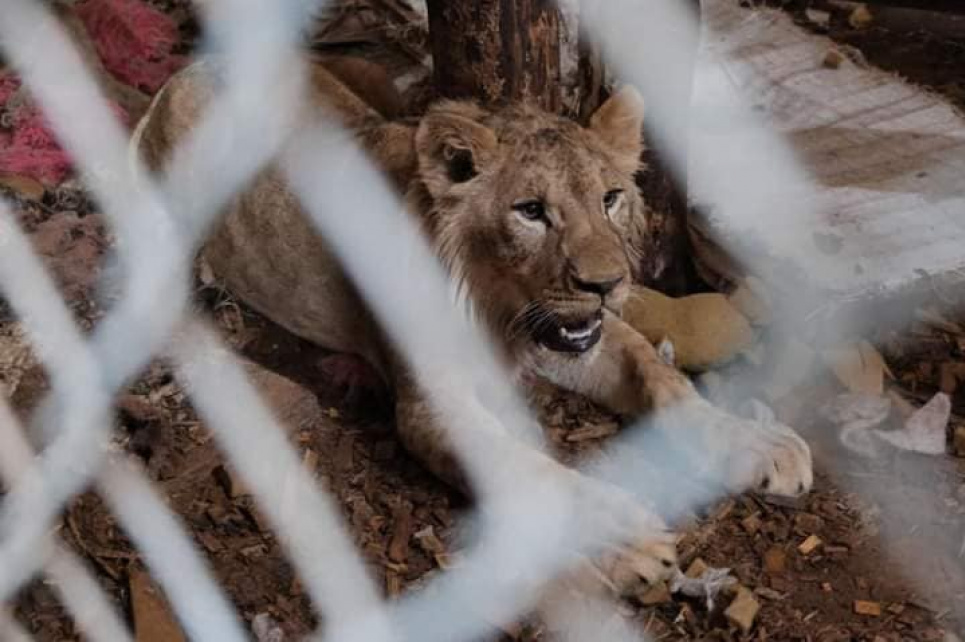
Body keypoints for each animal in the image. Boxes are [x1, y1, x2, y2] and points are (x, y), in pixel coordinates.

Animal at [134, 53, 812, 596]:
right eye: (531, 212)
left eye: (611, 199)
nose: (605, 284)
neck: (502, 307)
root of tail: (184, 72)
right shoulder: (431, 404)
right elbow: (529, 468)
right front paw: (622, 539)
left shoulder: (580, 334)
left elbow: (662, 377)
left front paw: (759, 442)